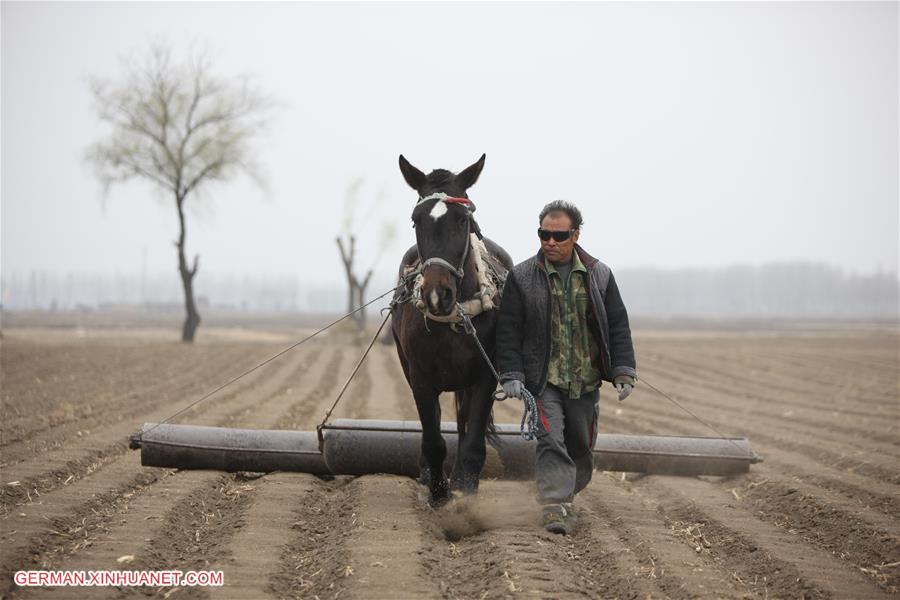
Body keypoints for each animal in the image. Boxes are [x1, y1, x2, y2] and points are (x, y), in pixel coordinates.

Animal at [392, 152, 512, 504]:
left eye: (461, 219)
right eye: (416, 220)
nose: (436, 293)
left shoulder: (486, 376)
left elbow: (472, 439)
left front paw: (465, 488)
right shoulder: (420, 378)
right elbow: (433, 440)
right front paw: (438, 491)